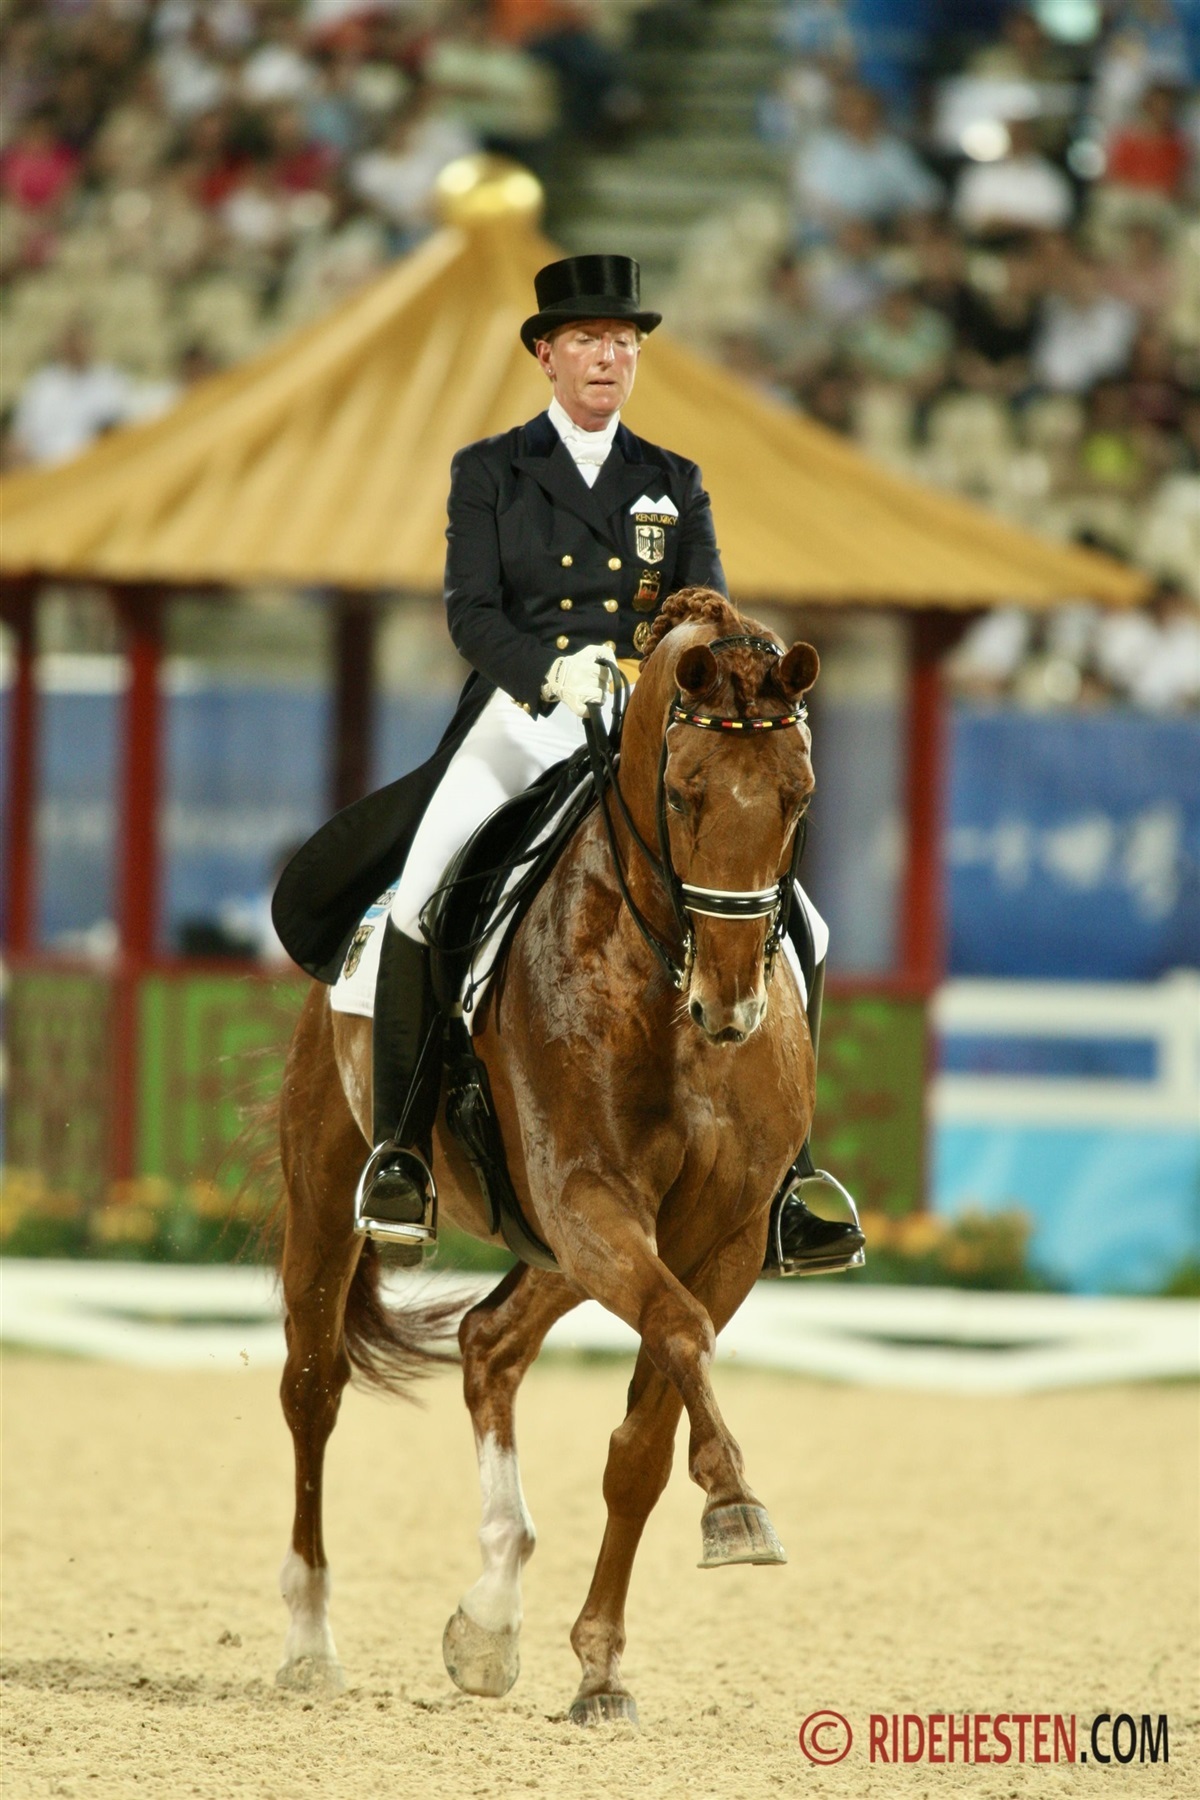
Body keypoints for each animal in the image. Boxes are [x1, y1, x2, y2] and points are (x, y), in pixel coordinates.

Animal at [274, 586, 821, 1725]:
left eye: (798, 797)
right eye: (686, 793)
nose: (732, 1007)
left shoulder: (721, 1237)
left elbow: (643, 1443)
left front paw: (600, 1668)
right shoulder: (590, 1201)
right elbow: (681, 1334)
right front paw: (737, 1504)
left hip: (561, 1250)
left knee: (489, 1344)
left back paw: (489, 1618)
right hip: (336, 1188)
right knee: (313, 1386)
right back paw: (309, 1643)